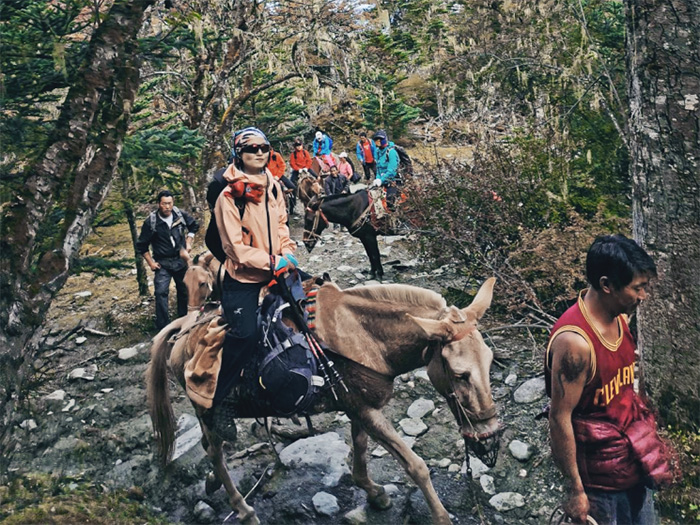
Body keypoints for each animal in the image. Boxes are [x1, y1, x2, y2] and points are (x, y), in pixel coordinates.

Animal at [145, 276, 500, 520]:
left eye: (490, 361)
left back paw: (213, 484)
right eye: (460, 374)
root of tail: (184, 326)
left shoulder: (359, 408)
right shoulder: (367, 411)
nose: (488, 436)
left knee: (210, 450)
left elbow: (360, 450)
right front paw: (440, 516)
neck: (365, 334)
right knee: (214, 451)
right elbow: (416, 466)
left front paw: (373, 493)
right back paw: (243, 509)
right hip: (205, 411)